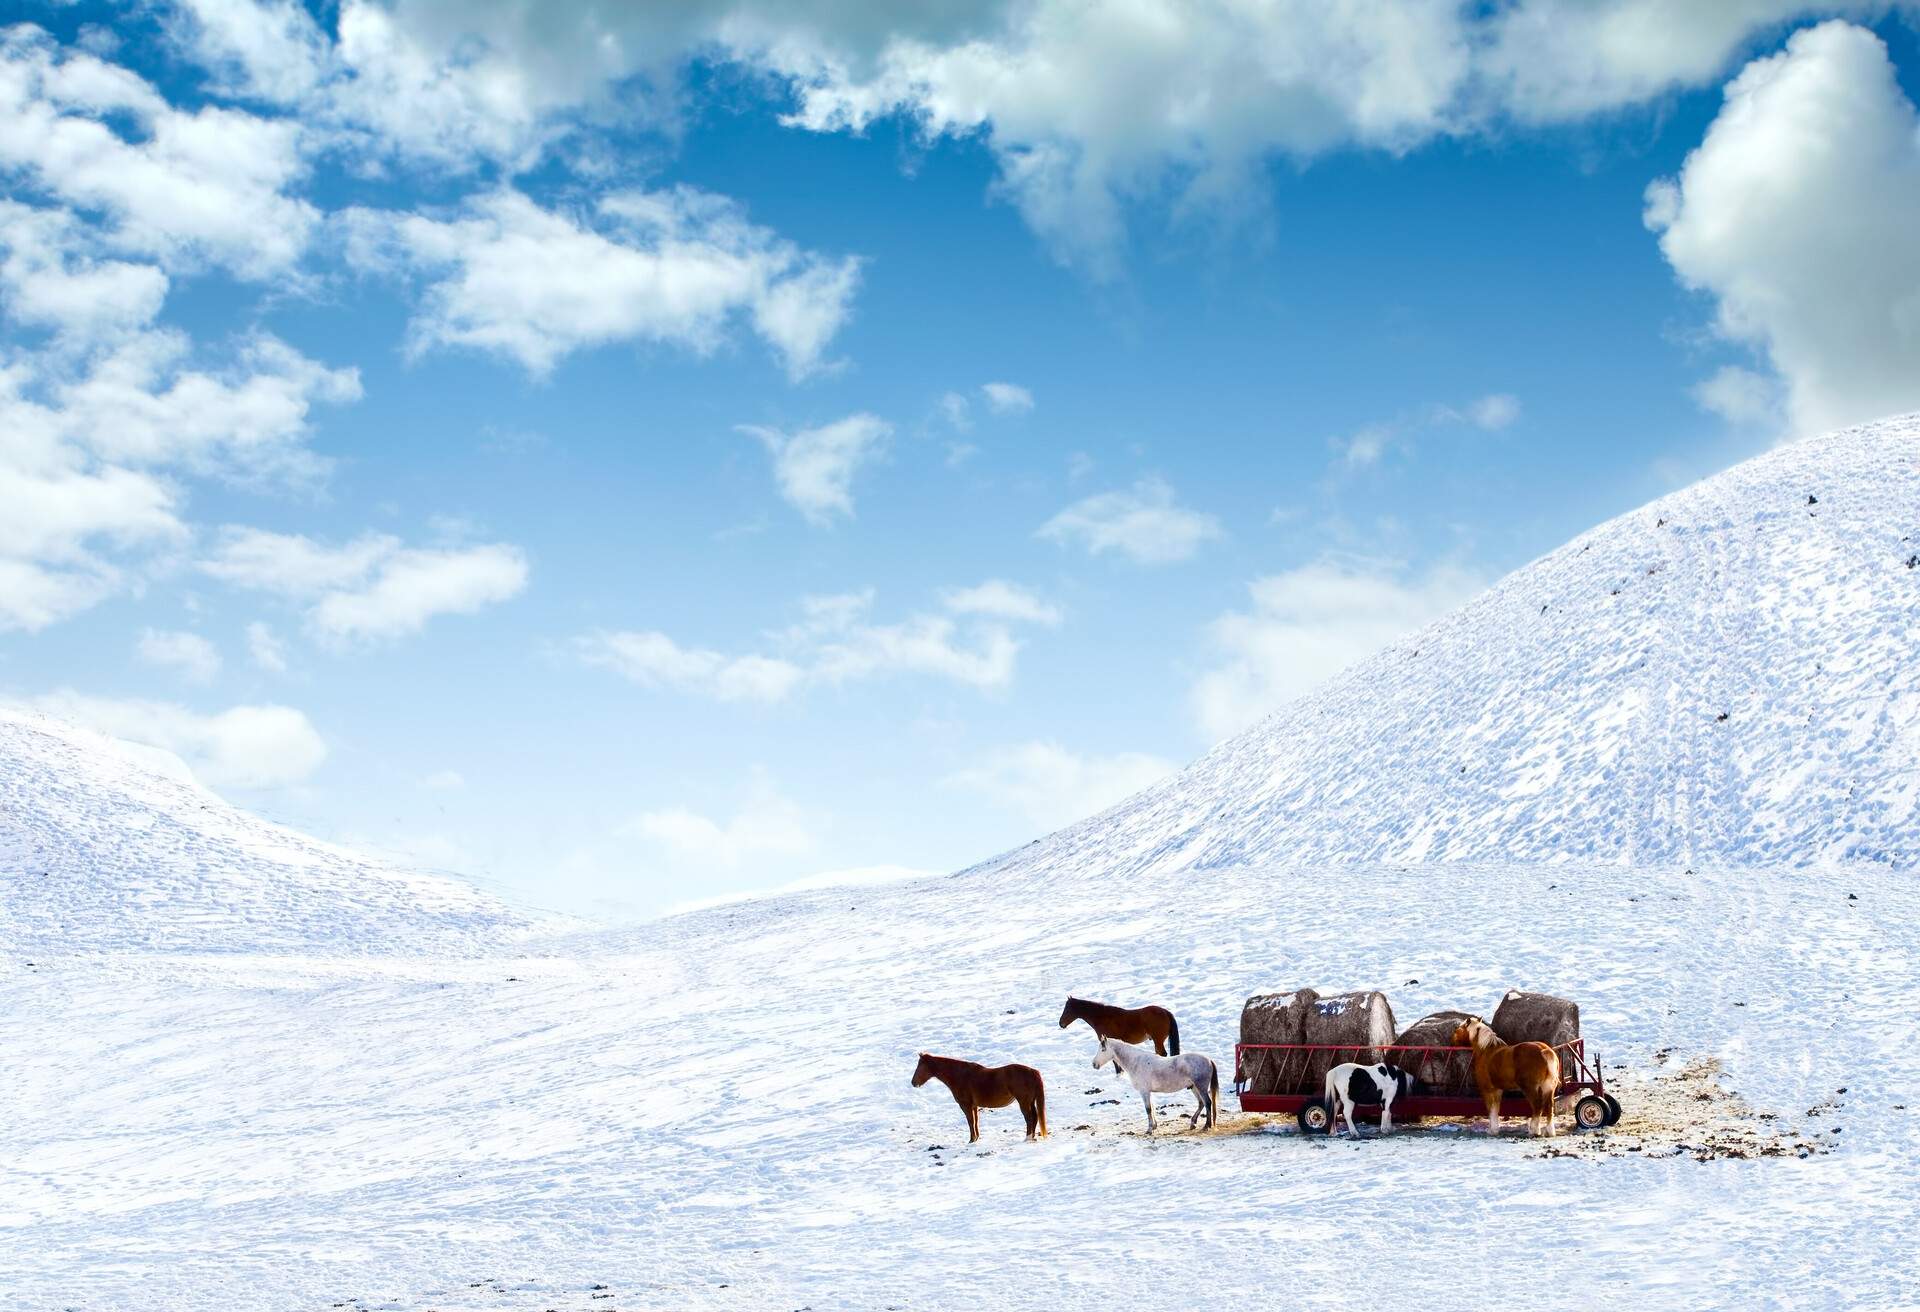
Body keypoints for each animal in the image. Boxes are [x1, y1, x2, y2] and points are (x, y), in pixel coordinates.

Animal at [913, 1052, 1052, 1144]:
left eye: (920, 1067)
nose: (913, 1082)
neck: (960, 1075)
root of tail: (1032, 1071)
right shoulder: (974, 1106)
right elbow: (975, 1121)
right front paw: (976, 1139)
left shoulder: (966, 1105)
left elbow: (970, 1122)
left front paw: (971, 1140)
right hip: (1030, 1101)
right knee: (1034, 1117)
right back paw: (1032, 1137)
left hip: (1023, 1102)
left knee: (1029, 1118)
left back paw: (1027, 1138)